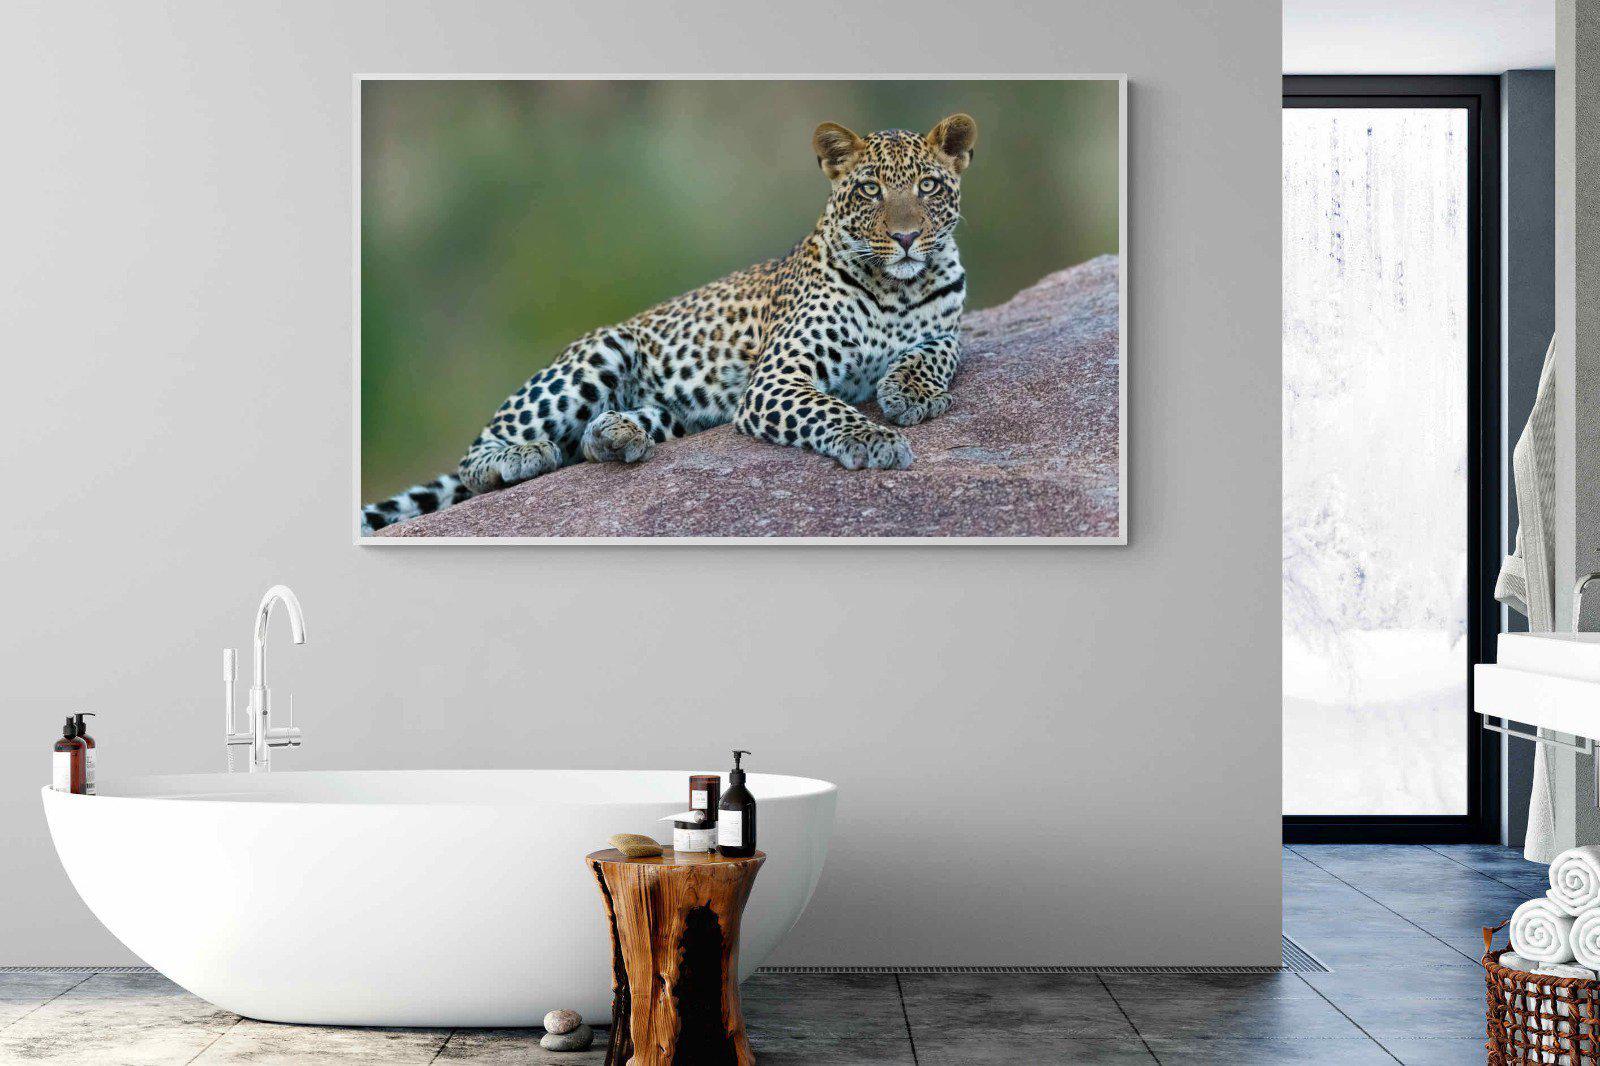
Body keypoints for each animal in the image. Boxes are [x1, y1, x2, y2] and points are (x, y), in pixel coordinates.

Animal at [361, 113, 976, 535]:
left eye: (928, 186)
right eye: (870, 189)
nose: (906, 237)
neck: (898, 287)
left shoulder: (947, 328)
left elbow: (937, 351)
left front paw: (909, 393)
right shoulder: (777, 378)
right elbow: (829, 409)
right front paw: (876, 437)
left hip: (676, 413)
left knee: (599, 438)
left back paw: (615, 435)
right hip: (598, 353)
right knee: (478, 454)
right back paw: (522, 455)